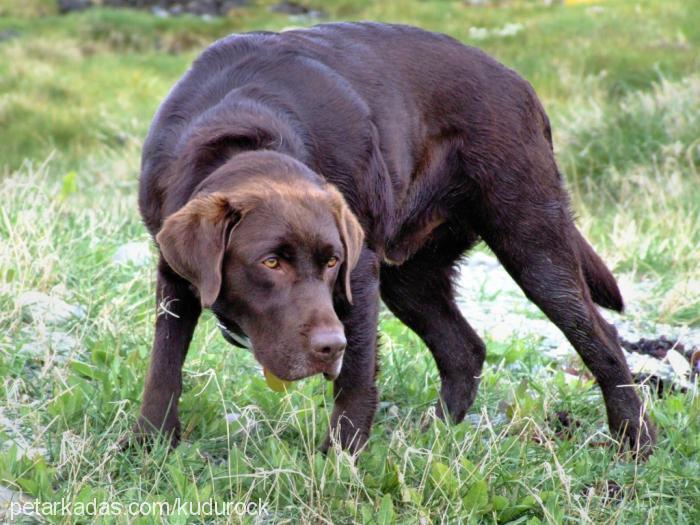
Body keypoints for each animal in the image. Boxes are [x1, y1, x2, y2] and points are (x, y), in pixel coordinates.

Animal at [135, 22, 656, 452]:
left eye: (331, 263)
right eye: (270, 262)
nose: (329, 347)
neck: (246, 127)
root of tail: (521, 85)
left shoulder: (358, 276)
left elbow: (356, 376)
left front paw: (340, 460)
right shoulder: (174, 273)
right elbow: (164, 365)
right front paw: (150, 445)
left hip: (531, 239)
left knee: (601, 337)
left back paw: (635, 440)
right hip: (410, 276)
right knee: (464, 349)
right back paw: (434, 435)